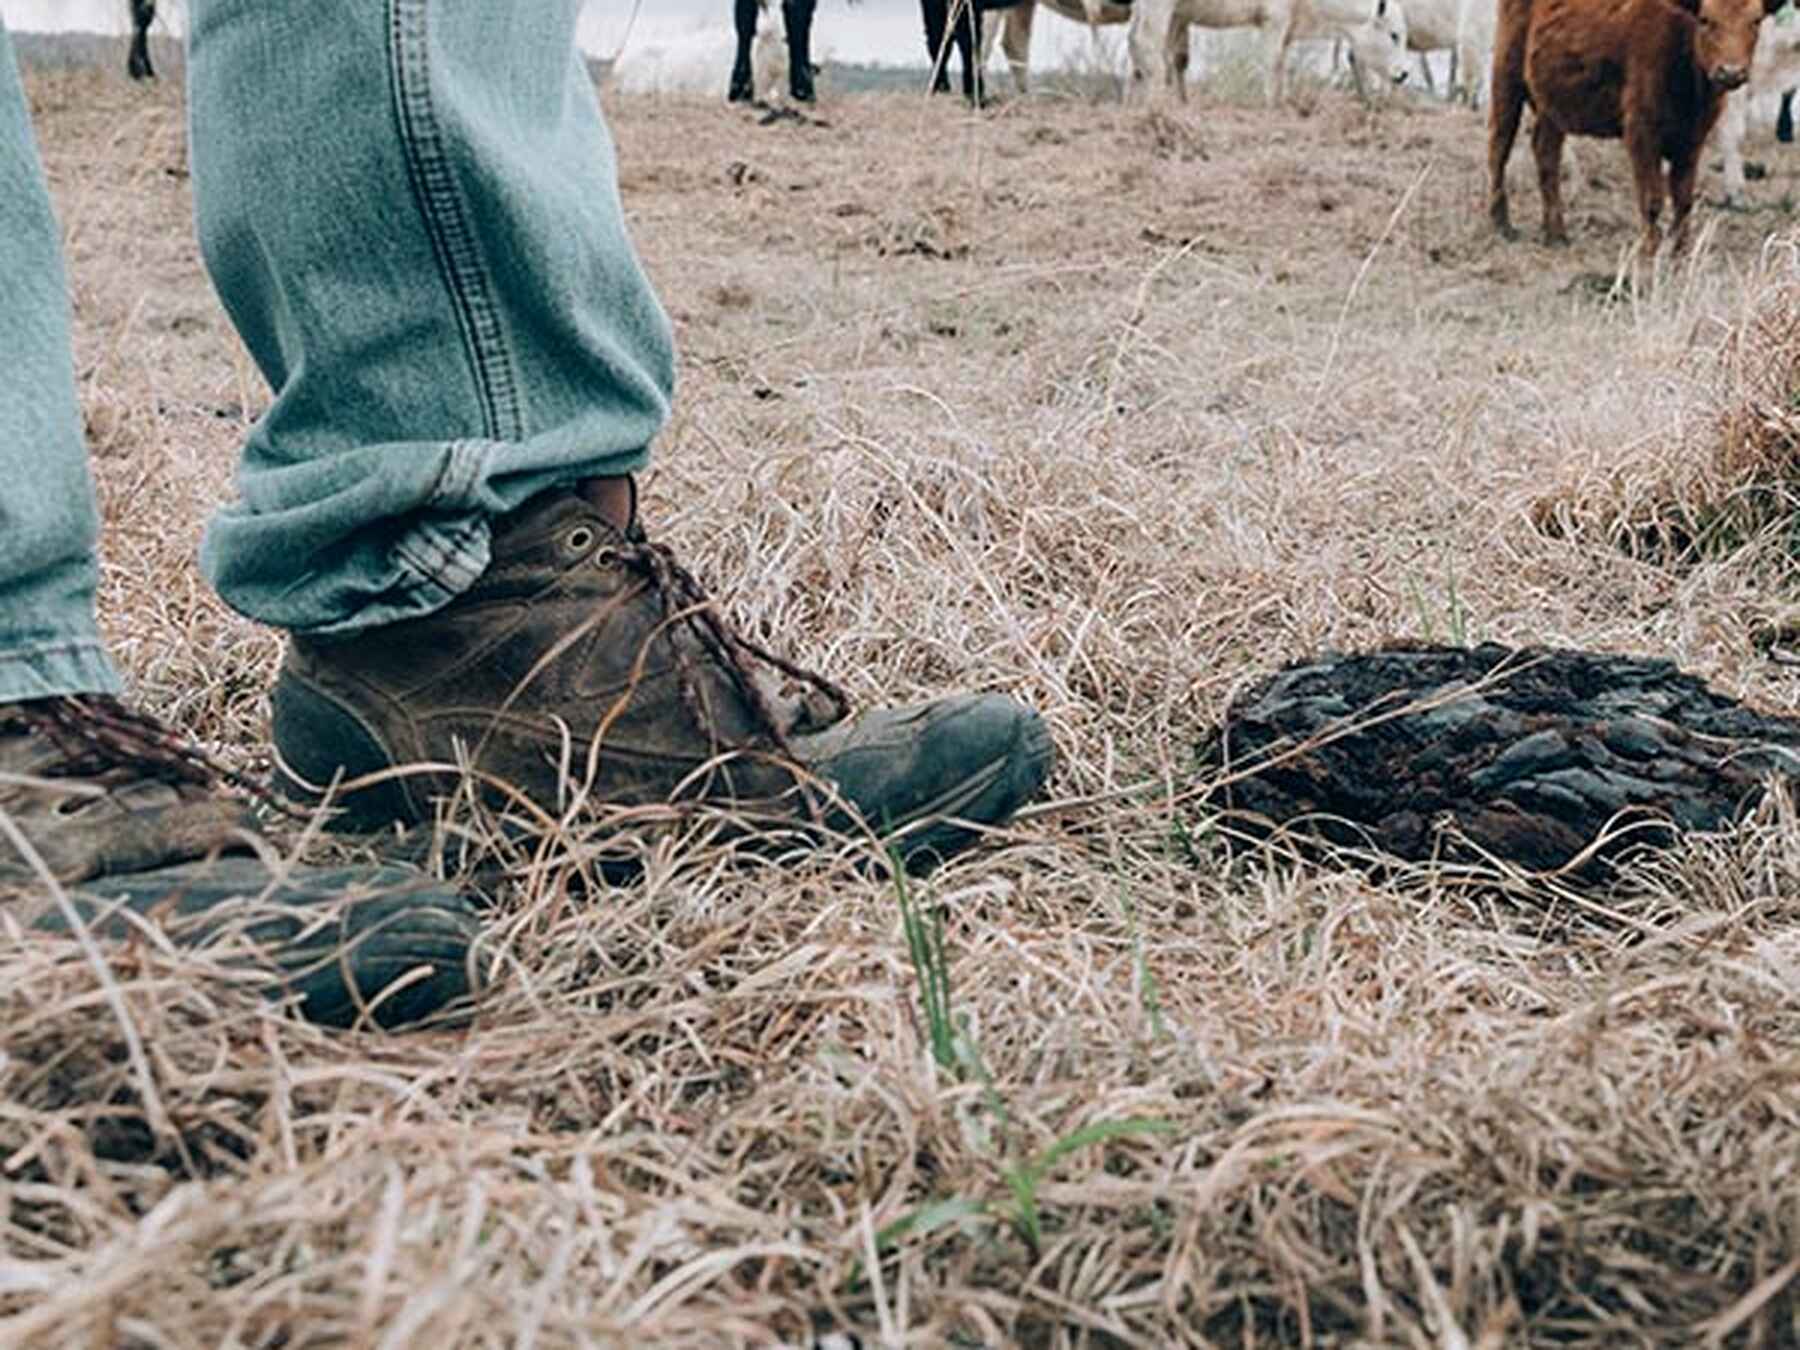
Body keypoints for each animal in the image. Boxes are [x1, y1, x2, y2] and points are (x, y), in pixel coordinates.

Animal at [1127, 0, 1412, 106]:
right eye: (1394, 35)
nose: (1403, 74)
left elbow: (1282, 67)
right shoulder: (1274, 19)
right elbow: (1273, 64)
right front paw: (1271, 106)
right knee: (1147, 45)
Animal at [1488, 0, 1785, 257]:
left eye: (1756, 21)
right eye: (1705, 19)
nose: (1731, 72)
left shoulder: (1692, 140)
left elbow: (1683, 199)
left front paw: (1681, 254)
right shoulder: (1642, 133)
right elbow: (1652, 198)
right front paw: (1650, 253)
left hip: (1552, 105)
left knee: (1546, 153)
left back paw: (1556, 234)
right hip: (1507, 75)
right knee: (1499, 146)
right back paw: (1502, 225)